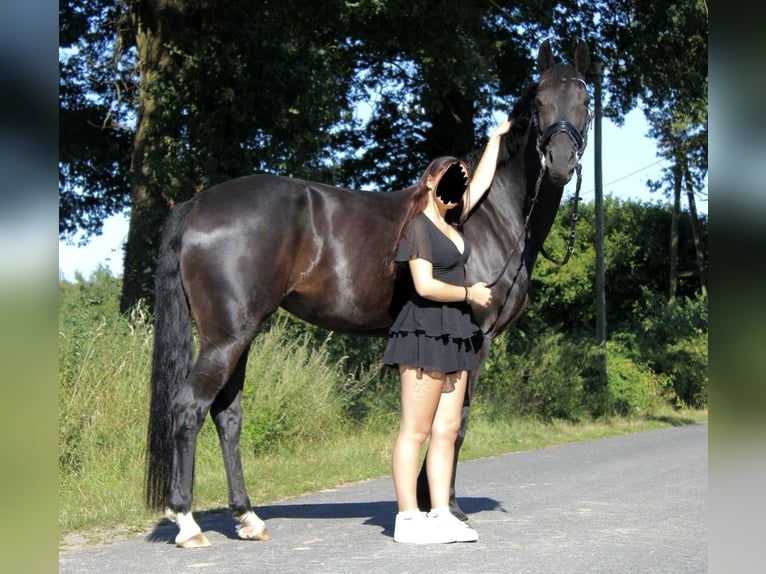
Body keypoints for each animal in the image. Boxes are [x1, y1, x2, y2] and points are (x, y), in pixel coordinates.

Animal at [147, 38, 592, 548]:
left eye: (585, 101)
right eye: (539, 102)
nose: (560, 162)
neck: (488, 214)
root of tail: (200, 202)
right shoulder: (476, 338)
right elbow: (455, 424)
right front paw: (448, 508)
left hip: (238, 335)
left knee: (227, 415)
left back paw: (247, 518)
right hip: (226, 337)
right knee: (189, 409)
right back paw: (186, 522)